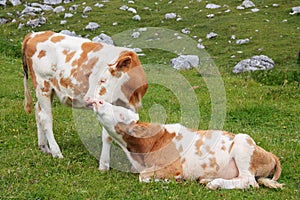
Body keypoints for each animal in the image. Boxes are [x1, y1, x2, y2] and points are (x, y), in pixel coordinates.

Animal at [21, 30, 148, 170]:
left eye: (102, 80)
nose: (87, 99)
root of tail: (34, 34)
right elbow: (108, 136)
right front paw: (104, 165)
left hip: (48, 91)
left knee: (38, 112)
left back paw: (44, 147)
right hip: (43, 85)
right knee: (46, 118)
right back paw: (56, 152)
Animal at [92, 101, 284, 190]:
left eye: (120, 113)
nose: (98, 101)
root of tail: (269, 153)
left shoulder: (171, 167)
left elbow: (144, 177)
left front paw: (172, 180)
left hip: (243, 145)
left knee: (249, 181)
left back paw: (215, 183)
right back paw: (207, 179)